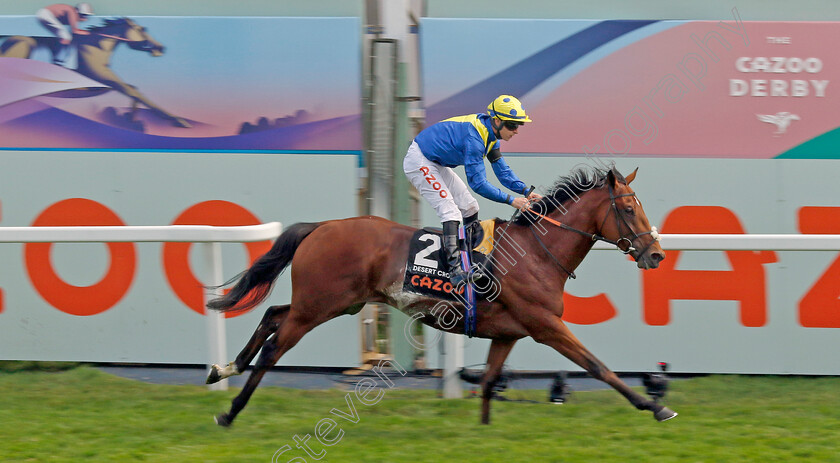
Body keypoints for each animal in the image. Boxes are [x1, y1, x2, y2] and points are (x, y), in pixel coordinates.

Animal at [0, 17, 190, 129]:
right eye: (142, 29)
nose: (161, 48)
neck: (97, 47)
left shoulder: (102, 81)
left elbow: (133, 89)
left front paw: (132, 120)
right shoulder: (103, 79)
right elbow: (135, 92)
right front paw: (178, 120)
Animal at [207, 167, 680, 428]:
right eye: (629, 208)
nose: (656, 254)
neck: (536, 251)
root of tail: (322, 226)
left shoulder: (507, 334)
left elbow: (488, 383)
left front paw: (483, 432)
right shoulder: (546, 326)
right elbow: (597, 366)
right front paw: (654, 407)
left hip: (331, 302)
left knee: (272, 313)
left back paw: (223, 368)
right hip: (318, 306)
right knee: (273, 349)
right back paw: (230, 410)